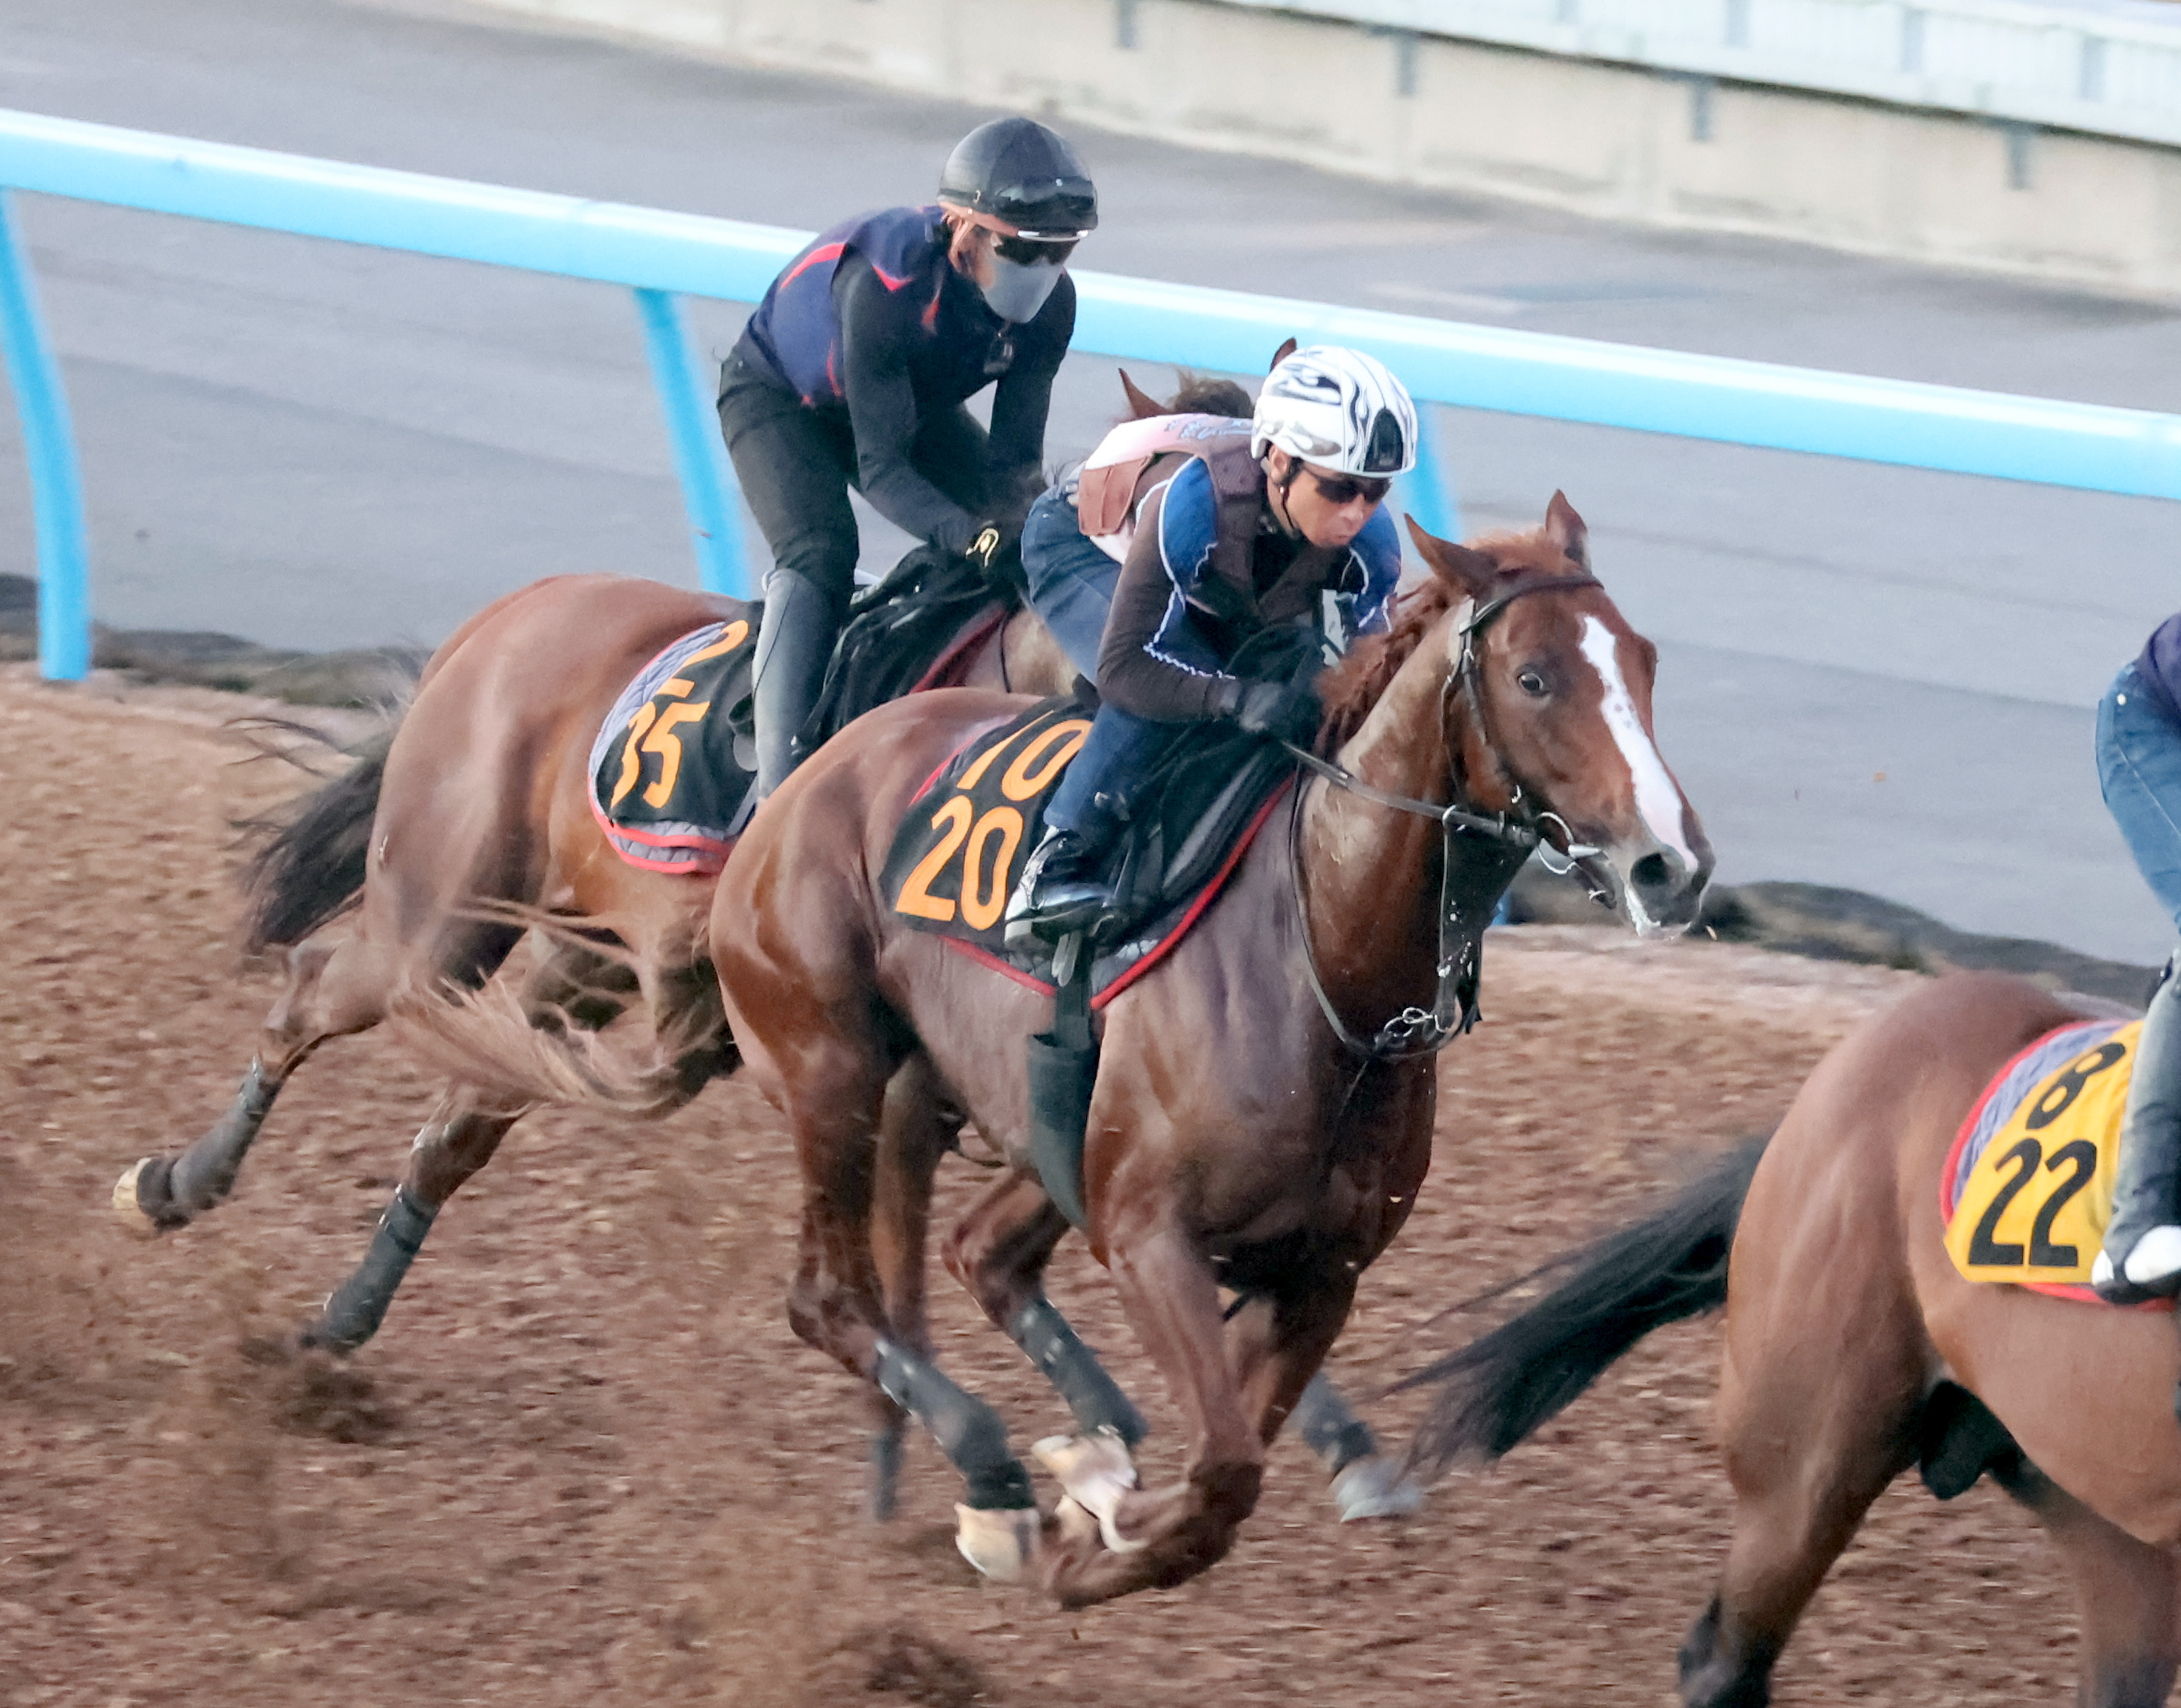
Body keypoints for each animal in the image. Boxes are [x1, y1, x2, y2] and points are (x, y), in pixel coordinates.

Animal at [706, 495, 1710, 1605]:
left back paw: (1071, 1448)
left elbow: (1220, 1480)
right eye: (1534, 677)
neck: (1325, 960)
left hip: (1024, 1119)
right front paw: (1088, 1518)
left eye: (1645, 660)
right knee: (830, 1299)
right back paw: (993, 1468)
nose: (1671, 866)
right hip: (830, 1066)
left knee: (980, 1251)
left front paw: (1097, 1503)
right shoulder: (1153, 1236)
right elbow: (1223, 1472)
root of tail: (816, 761)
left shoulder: (1318, 1276)